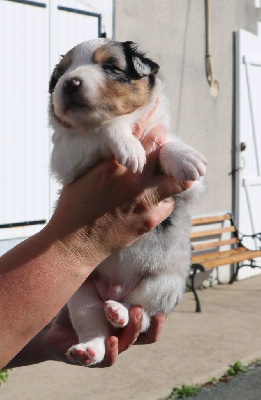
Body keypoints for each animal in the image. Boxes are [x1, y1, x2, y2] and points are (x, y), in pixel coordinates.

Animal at [48, 38, 206, 366]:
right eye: (61, 73)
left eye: (111, 67)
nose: (70, 83)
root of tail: (115, 289)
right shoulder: (67, 157)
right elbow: (103, 127)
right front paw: (128, 145)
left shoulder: (189, 189)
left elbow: (166, 144)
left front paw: (185, 158)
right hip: (80, 293)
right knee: (94, 324)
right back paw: (91, 346)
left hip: (165, 283)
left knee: (141, 312)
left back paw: (120, 312)